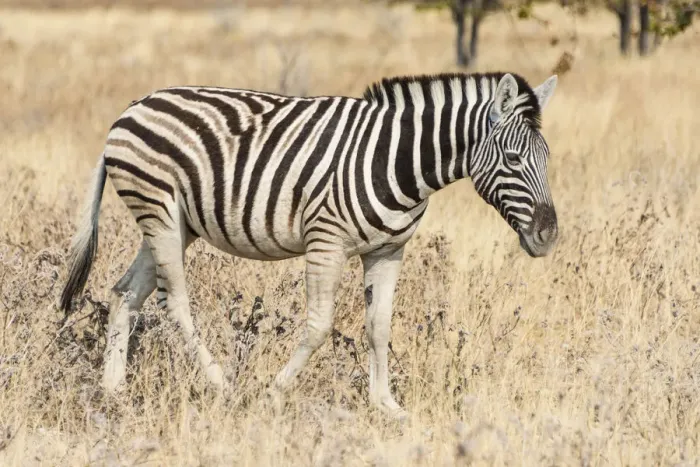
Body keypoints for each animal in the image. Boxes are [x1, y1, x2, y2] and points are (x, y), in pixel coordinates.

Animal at [59, 71, 559, 417]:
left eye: (548, 158)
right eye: (513, 158)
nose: (549, 236)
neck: (398, 162)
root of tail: (134, 106)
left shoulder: (388, 251)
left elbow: (379, 327)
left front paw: (387, 406)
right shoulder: (326, 242)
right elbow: (319, 327)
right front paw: (272, 394)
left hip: (175, 223)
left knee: (125, 293)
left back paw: (112, 391)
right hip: (158, 208)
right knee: (174, 301)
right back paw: (221, 384)